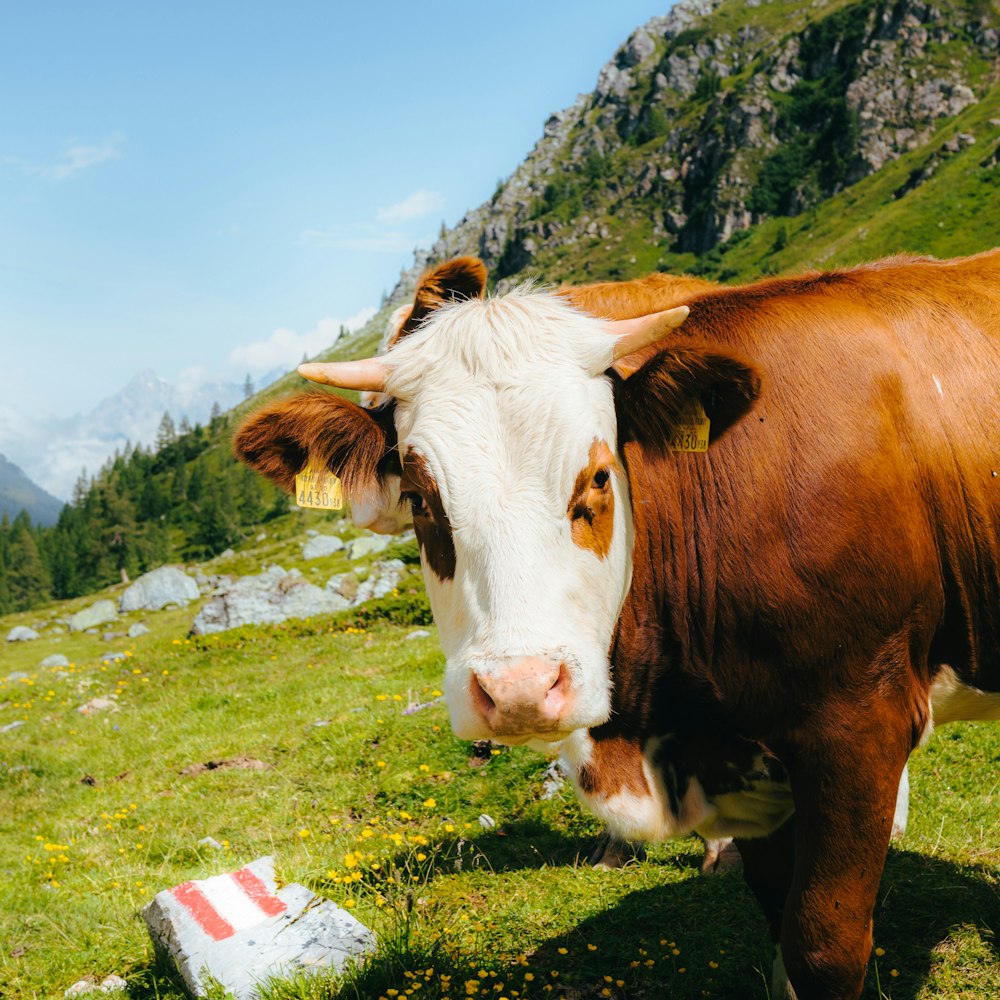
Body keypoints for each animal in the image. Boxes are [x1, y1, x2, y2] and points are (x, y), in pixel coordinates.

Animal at [236, 250, 1000, 1000]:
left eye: (600, 478)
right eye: (422, 495)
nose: (519, 689)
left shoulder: (861, 722)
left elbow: (822, 948)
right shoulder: (751, 760)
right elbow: (779, 918)